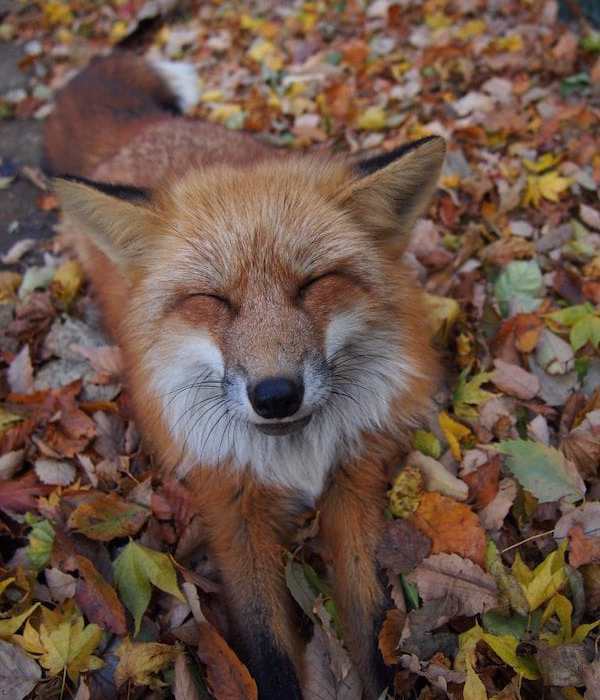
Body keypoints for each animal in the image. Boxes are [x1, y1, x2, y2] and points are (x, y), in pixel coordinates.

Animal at [44, 53, 445, 699]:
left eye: (313, 284)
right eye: (213, 300)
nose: (276, 395)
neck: (296, 456)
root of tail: (142, 131)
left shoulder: (354, 478)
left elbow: (373, 616)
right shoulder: (230, 506)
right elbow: (266, 644)